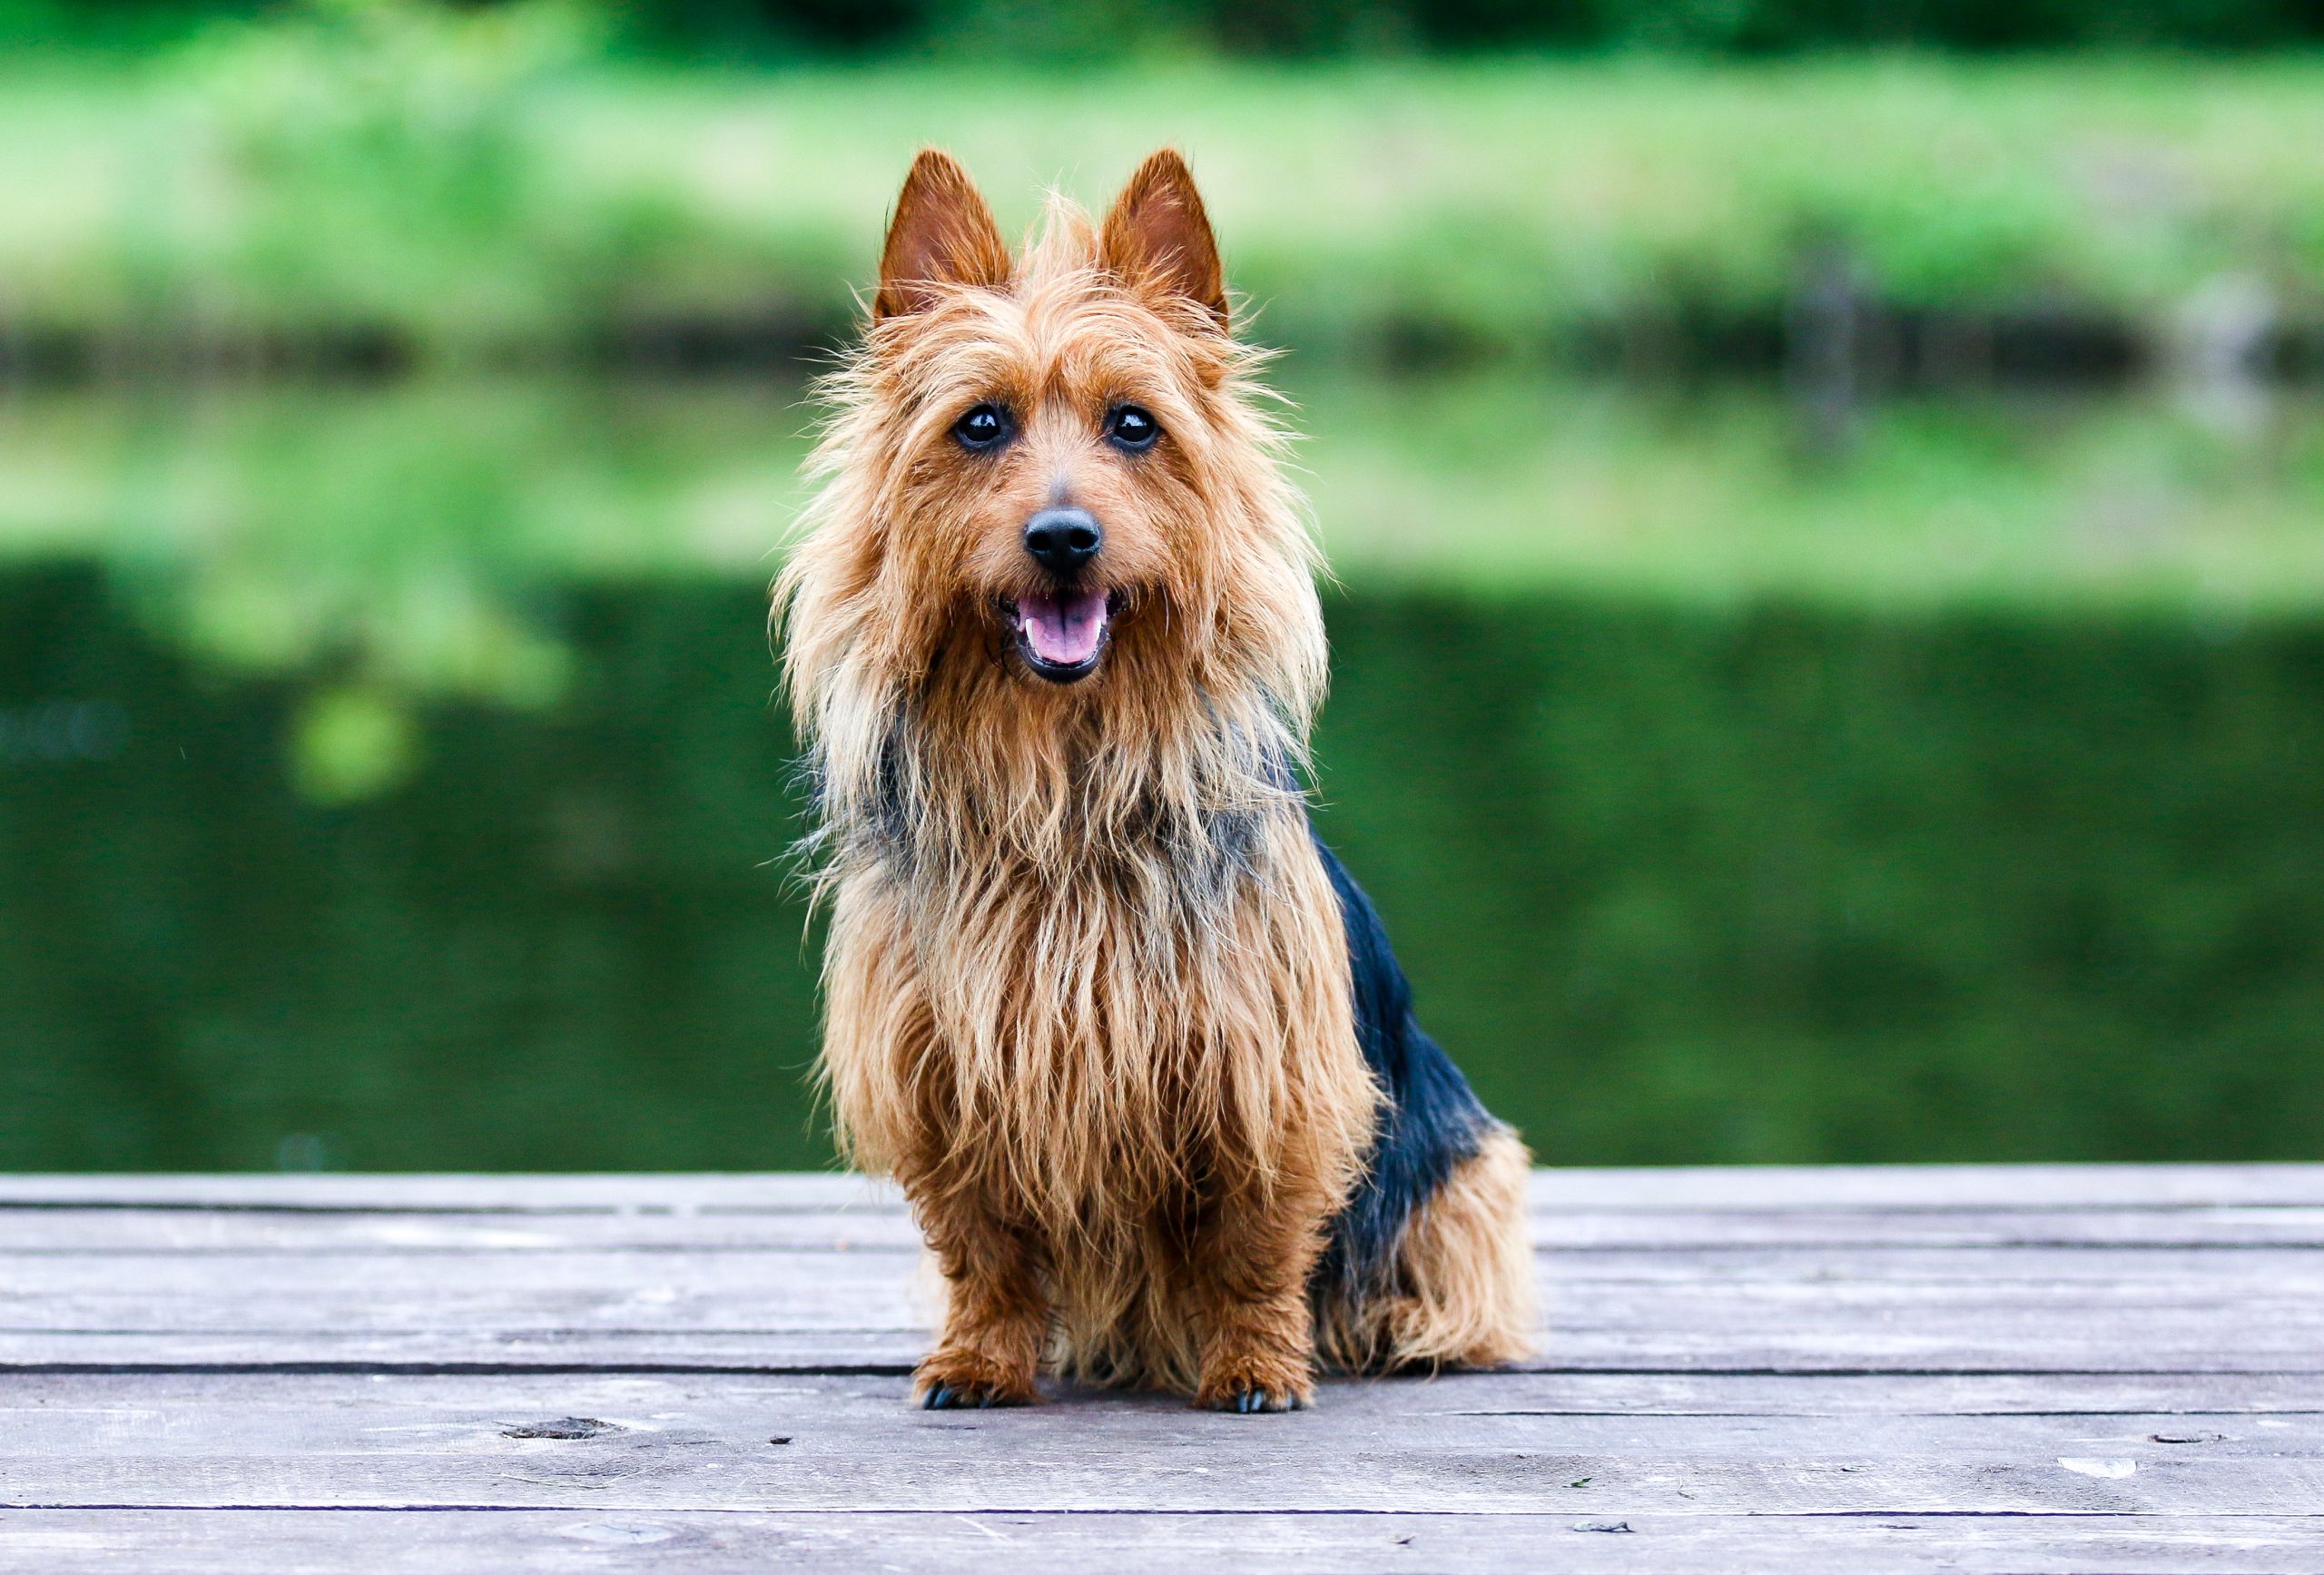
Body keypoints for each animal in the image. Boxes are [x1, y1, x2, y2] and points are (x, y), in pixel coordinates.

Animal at [785, 144, 1542, 1403]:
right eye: (979, 425)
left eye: (1134, 426)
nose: (1062, 537)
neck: (1064, 776)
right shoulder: (937, 1066)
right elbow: (980, 1242)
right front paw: (979, 1356)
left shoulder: (1265, 1068)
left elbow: (1256, 1236)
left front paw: (1255, 1362)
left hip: (1467, 1172)